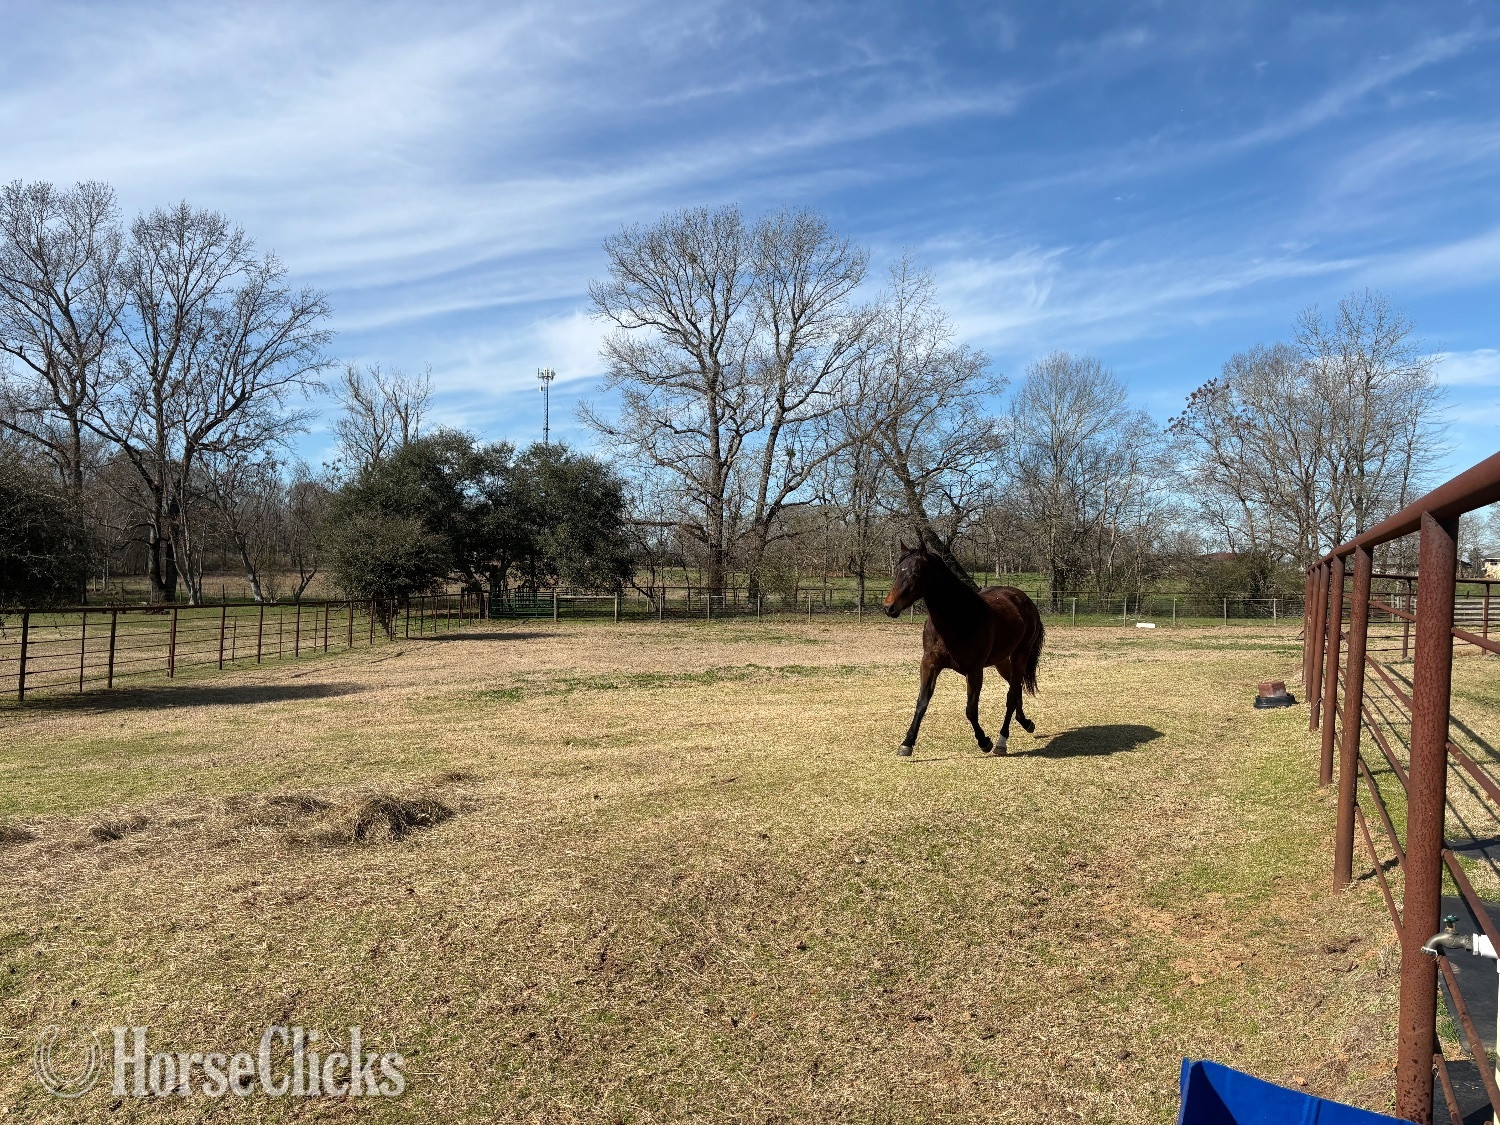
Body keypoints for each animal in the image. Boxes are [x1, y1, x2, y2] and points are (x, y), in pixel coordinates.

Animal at [882, 543, 1045, 757]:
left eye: (916, 573)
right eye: (897, 572)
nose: (889, 607)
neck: (959, 618)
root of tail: (1023, 599)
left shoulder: (974, 671)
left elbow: (970, 710)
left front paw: (984, 741)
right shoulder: (929, 665)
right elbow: (921, 703)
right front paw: (907, 743)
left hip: (1020, 655)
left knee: (1011, 694)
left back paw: (1002, 741)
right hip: (1001, 661)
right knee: (1015, 687)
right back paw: (1026, 723)